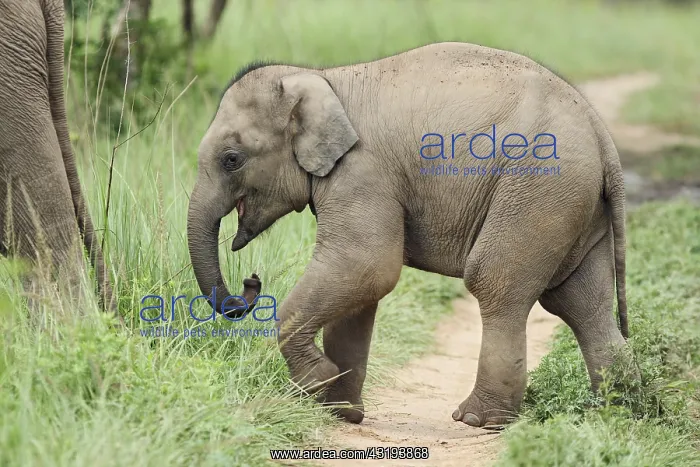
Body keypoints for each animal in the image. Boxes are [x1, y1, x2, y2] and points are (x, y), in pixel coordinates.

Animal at [187, 42, 629, 428]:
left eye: (231, 159)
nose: (252, 281)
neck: (321, 79)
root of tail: (602, 135)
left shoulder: (362, 173)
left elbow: (366, 266)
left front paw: (318, 381)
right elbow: (360, 290)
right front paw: (341, 411)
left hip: (537, 190)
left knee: (496, 284)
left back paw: (477, 420)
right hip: (574, 204)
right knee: (582, 303)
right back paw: (616, 410)